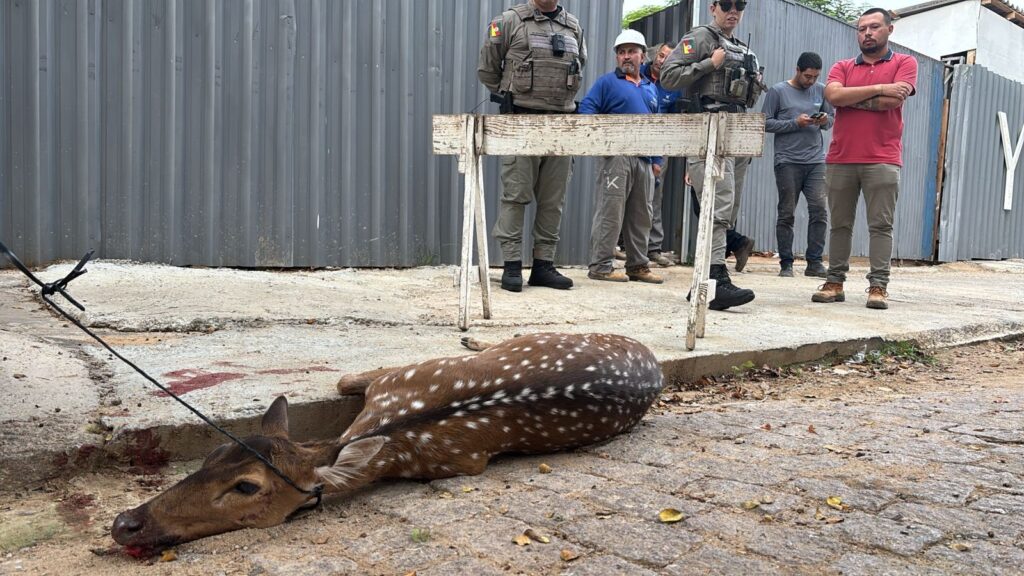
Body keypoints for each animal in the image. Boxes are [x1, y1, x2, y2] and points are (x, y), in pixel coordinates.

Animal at [111, 332, 664, 554]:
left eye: (247, 487)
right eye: (213, 453)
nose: (125, 523)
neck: (393, 429)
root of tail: (655, 364)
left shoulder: (460, 457)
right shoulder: (394, 378)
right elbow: (342, 379)